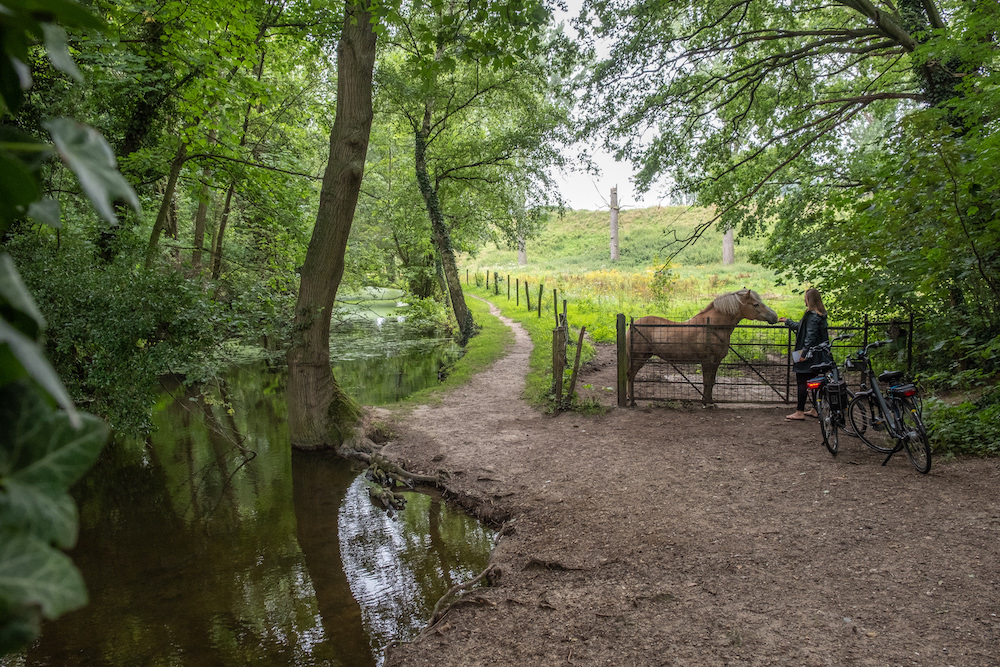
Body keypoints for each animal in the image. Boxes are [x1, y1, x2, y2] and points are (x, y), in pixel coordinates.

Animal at [624, 288, 780, 402]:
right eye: (756, 304)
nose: (775, 316)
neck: (713, 327)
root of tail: (632, 325)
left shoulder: (716, 361)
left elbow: (712, 382)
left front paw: (710, 402)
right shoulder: (707, 361)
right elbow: (706, 382)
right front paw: (705, 403)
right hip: (638, 358)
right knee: (630, 375)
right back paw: (632, 400)